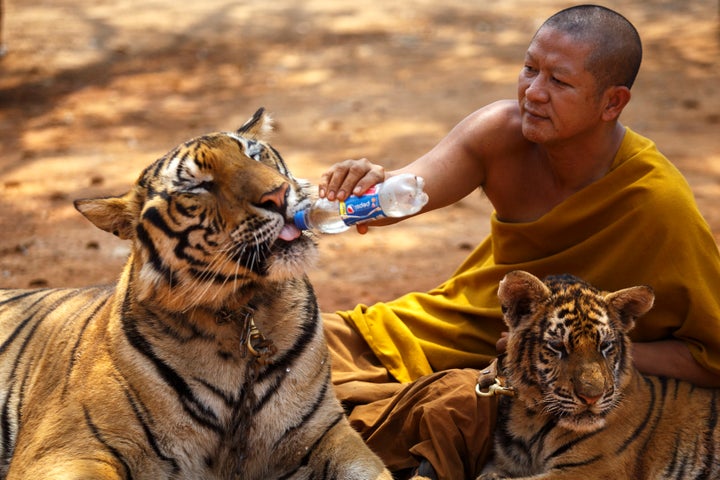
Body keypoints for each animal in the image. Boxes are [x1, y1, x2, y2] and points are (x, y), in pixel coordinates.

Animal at [0, 109, 390, 480]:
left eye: (254, 154)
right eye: (199, 186)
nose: (278, 195)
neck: (241, 309)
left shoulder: (325, 434)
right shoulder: (68, 447)